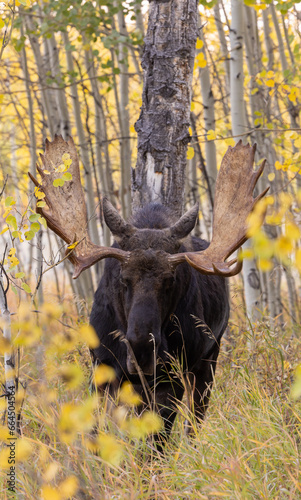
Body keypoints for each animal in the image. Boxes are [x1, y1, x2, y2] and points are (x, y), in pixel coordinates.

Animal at [29, 136, 266, 446]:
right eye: (122, 278)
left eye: (170, 280)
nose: (142, 347)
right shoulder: (102, 367)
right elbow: (96, 433)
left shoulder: (170, 378)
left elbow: (155, 443)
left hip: (208, 357)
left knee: (195, 420)